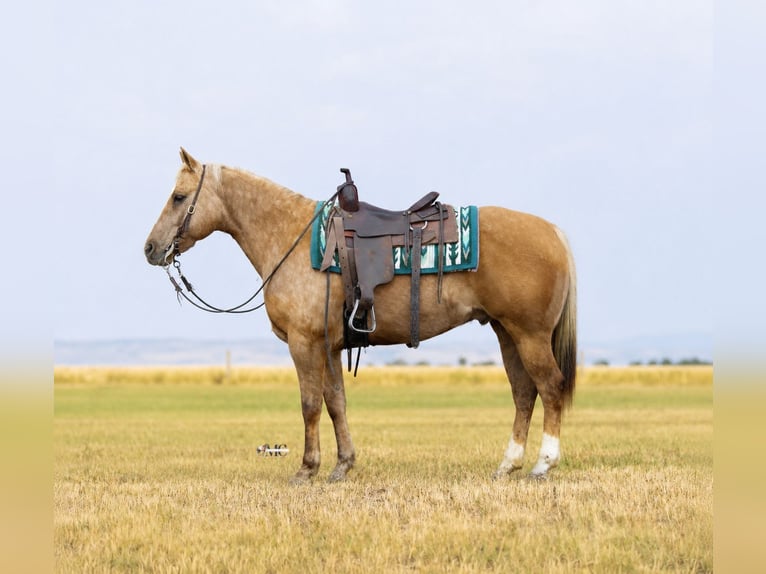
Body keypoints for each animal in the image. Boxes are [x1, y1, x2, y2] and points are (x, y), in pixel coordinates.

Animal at [144, 148, 577, 484]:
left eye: (179, 197)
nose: (150, 248)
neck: (291, 238)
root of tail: (554, 233)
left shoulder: (305, 343)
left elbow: (310, 404)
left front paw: (307, 469)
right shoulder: (331, 346)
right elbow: (336, 402)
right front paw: (343, 466)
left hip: (530, 334)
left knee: (550, 387)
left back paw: (543, 464)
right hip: (507, 332)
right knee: (524, 393)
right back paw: (508, 465)